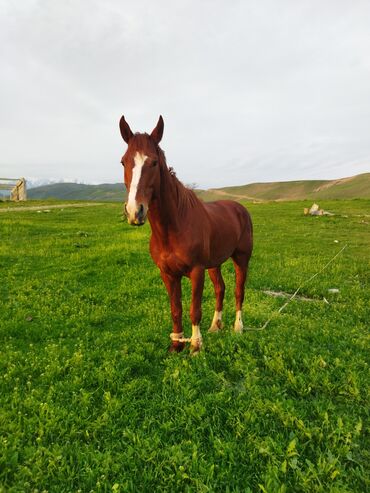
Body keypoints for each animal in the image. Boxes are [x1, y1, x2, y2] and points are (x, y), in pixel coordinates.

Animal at [120, 115, 253, 354]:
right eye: (123, 162)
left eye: (154, 162)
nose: (135, 211)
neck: (174, 228)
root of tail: (240, 208)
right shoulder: (168, 274)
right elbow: (176, 309)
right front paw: (176, 344)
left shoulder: (196, 271)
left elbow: (194, 309)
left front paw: (195, 346)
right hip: (214, 264)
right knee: (220, 289)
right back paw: (215, 326)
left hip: (241, 259)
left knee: (239, 290)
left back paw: (237, 328)